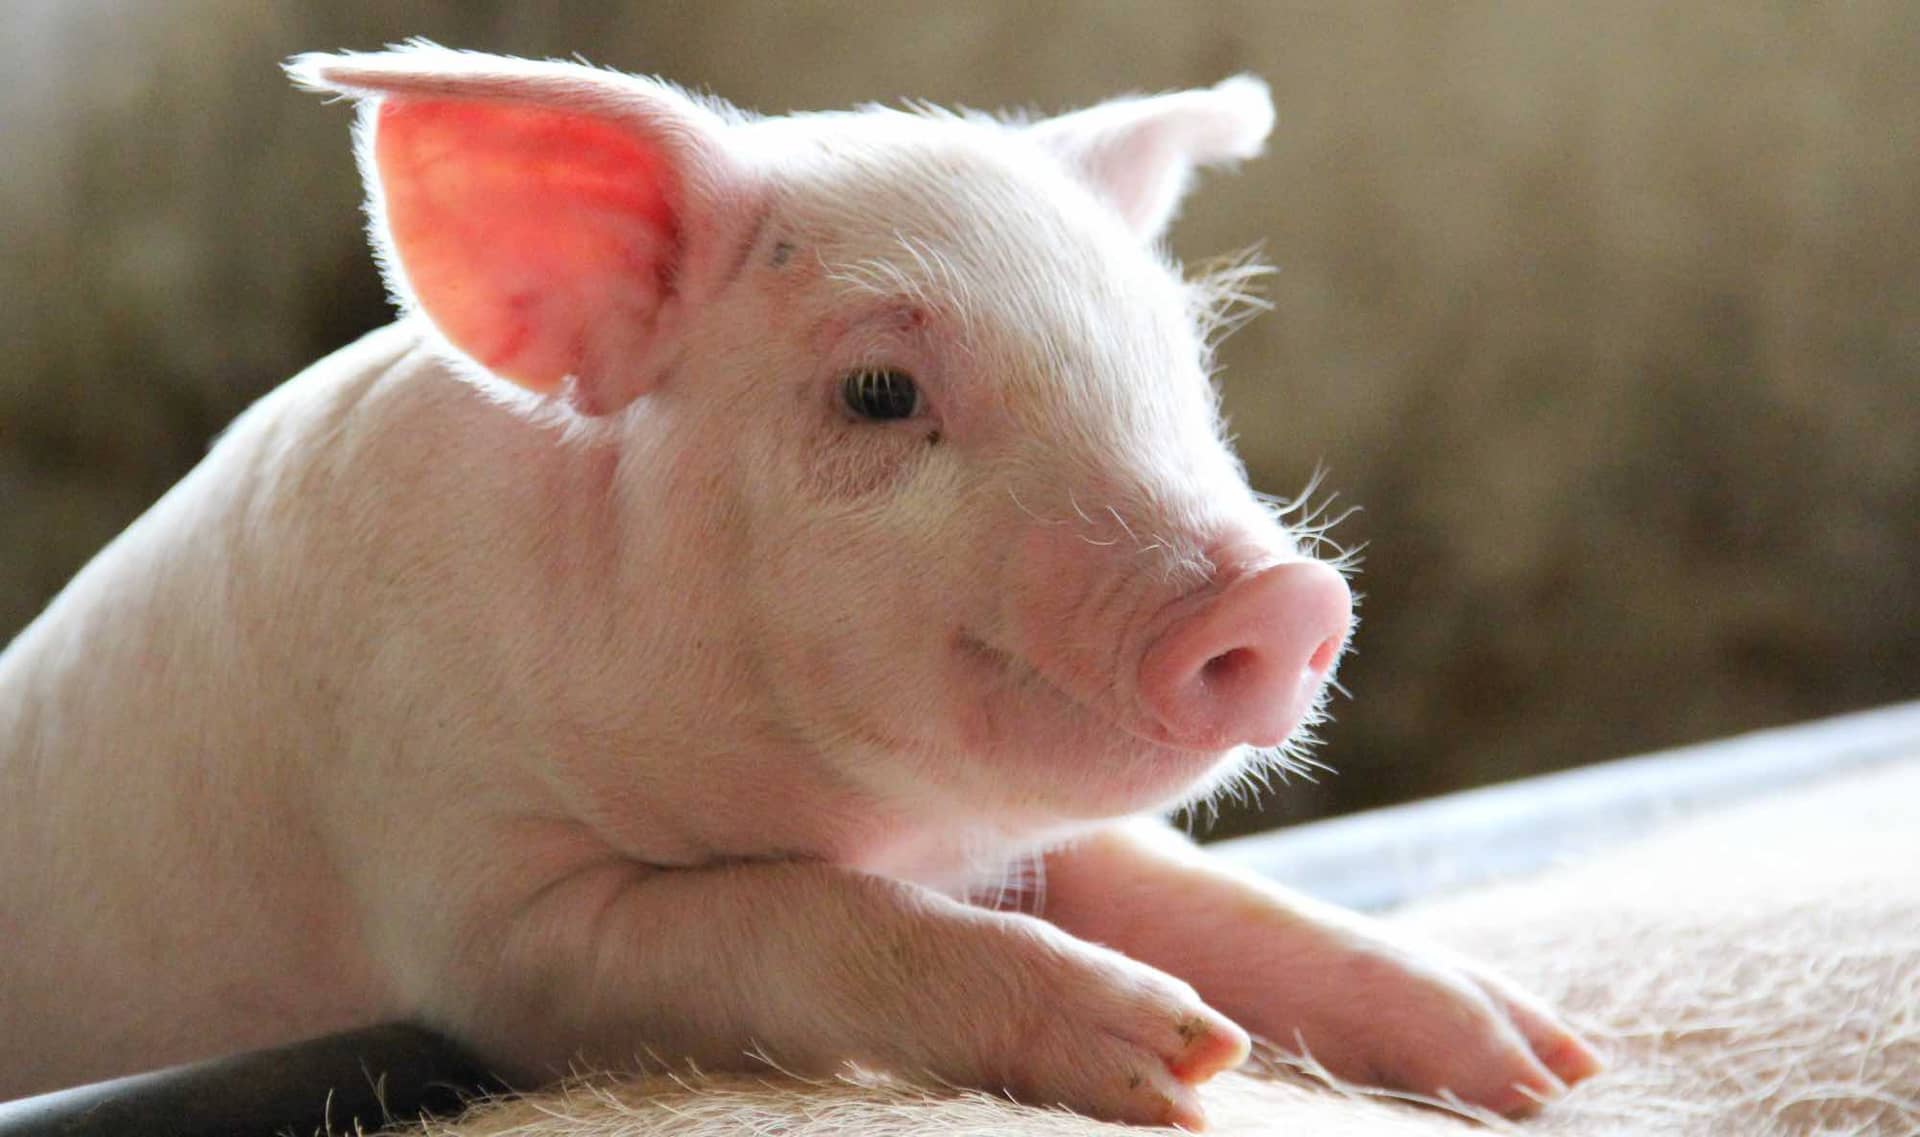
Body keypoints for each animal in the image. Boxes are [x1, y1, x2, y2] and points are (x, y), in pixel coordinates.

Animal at [0, 44, 1599, 1126]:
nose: (1285, 599)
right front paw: (1178, 1059)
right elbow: (803, 922)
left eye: (1179, 360)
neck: (851, 807)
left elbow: (1186, 881)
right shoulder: (478, 907)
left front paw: (1543, 1066)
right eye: (879, 392)